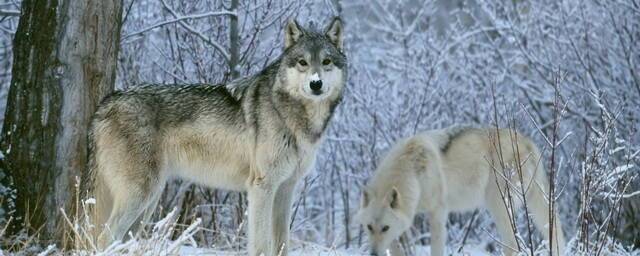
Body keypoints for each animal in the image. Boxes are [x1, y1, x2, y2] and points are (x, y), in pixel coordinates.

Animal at [84, 17, 348, 255]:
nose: (316, 83)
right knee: (104, 237)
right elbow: (261, 245)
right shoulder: (262, 188)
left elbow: (282, 244)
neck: (291, 114)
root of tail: (105, 103)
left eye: (326, 61)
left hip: (148, 203)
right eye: (303, 62)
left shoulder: (286, 189)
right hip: (140, 196)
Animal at [358, 126, 568, 256]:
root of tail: (527, 142)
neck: (412, 172)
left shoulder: (438, 213)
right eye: (369, 227)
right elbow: (396, 247)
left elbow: (436, 249)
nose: (373, 254)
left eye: (384, 228)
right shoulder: (404, 221)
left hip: (498, 205)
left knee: (513, 245)